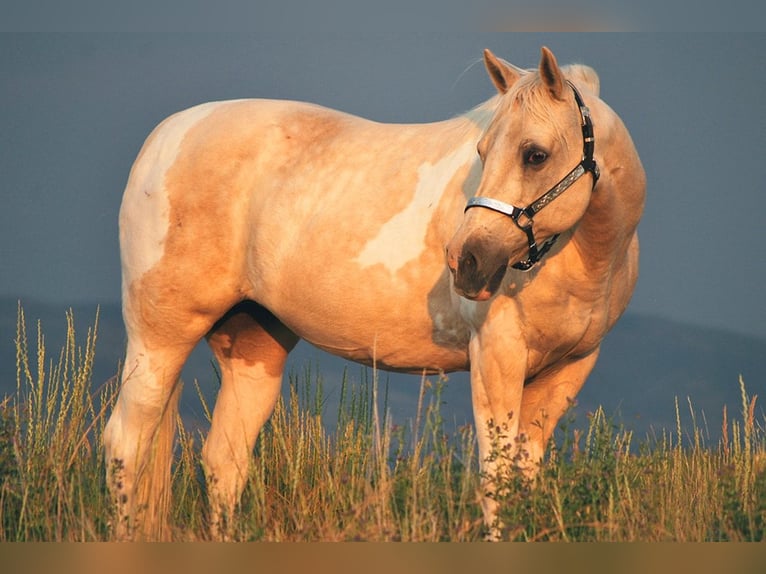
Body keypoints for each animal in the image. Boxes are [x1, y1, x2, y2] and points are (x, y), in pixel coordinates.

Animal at [103, 46, 645, 540]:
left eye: (535, 154)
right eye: (483, 152)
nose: (465, 260)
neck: (583, 259)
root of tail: (168, 136)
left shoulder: (567, 371)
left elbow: (523, 480)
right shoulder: (498, 356)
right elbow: (497, 482)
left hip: (253, 347)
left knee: (223, 462)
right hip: (160, 338)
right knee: (126, 445)